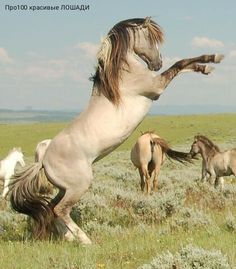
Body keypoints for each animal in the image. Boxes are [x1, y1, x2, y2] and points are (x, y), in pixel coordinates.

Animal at [8, 17, 223, 243]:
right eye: (150, 37)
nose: (158, 63)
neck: (123, 74)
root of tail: (43, 159)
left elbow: (184, 66)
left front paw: (208, 64)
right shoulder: (156, 87)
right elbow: (180, 64)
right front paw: (211, 60)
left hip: (64, 188)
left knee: (52, 207)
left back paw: (68, 237)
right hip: (79, 185)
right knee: (60, 210)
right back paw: (85, 240)